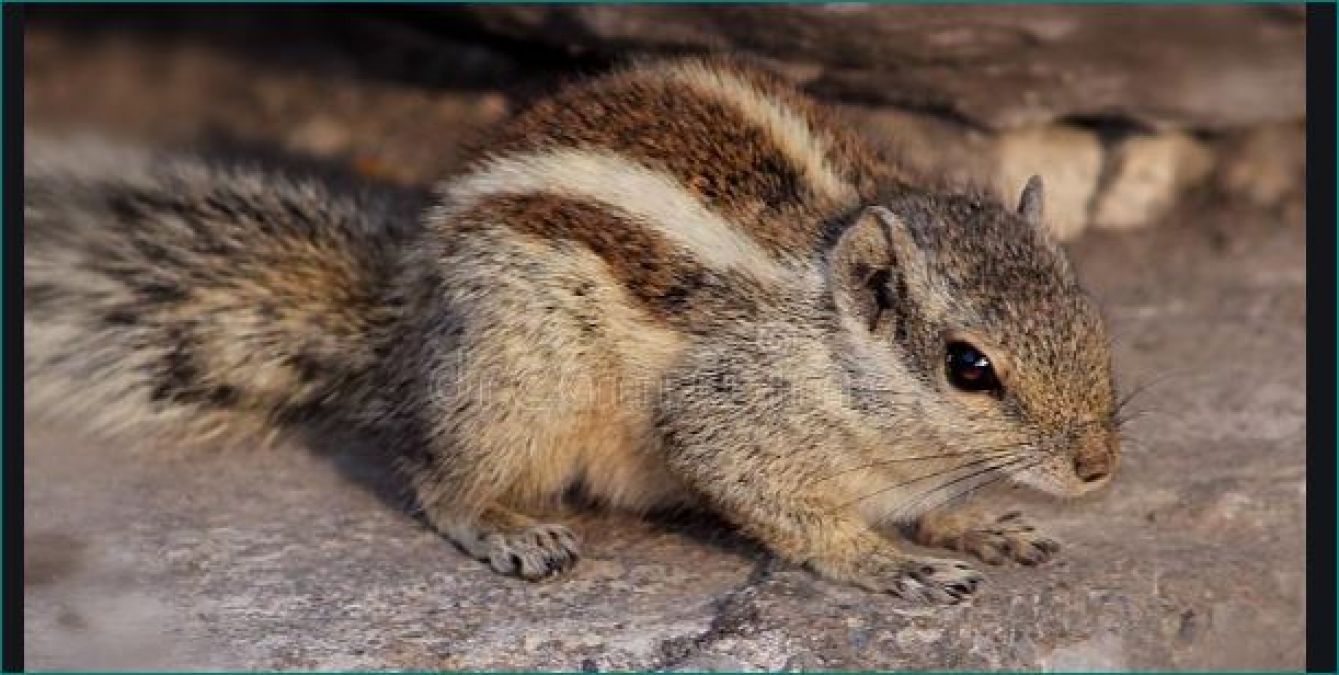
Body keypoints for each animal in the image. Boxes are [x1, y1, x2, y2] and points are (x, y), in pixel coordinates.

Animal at [26, 57, 1124, 602]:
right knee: (436, 477)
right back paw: (505, 527)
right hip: (515, 375)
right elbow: (794, 515)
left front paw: (976, 524)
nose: (1099, 467)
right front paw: (889, 561)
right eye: (968, 367)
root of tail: (402, 327)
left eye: (1085, 306)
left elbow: (940, 504)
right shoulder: (728, 418)